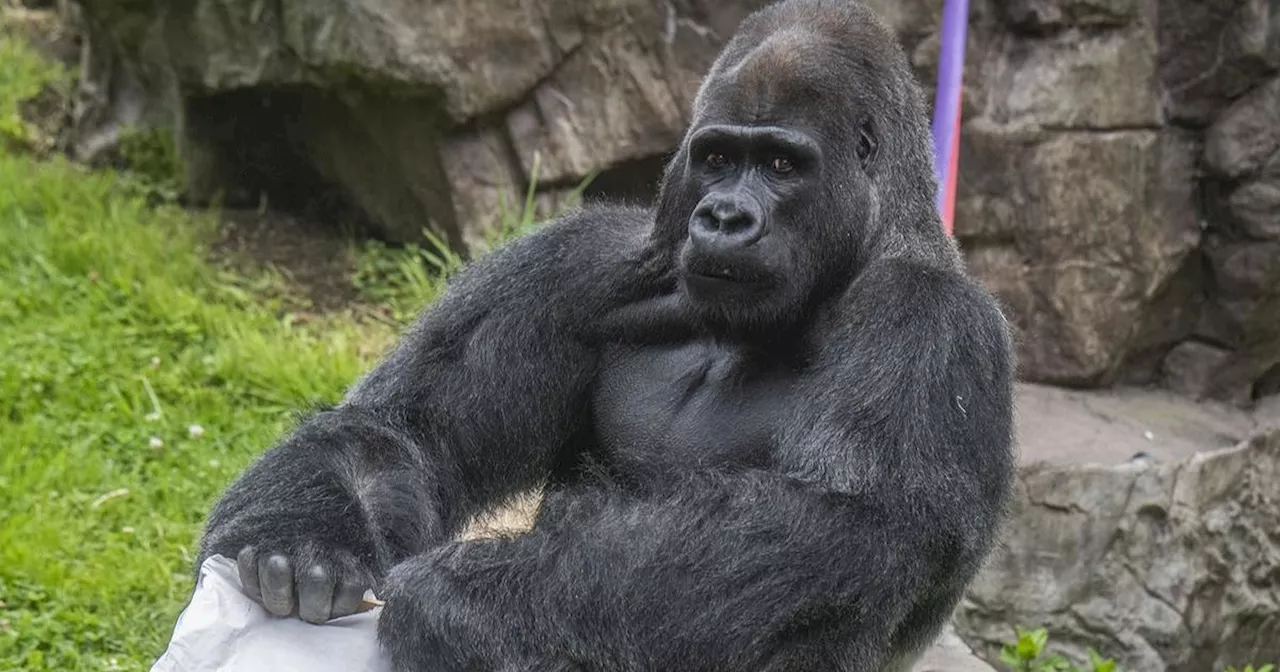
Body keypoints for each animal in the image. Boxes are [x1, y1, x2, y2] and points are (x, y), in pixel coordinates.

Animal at [199, 0, 1013, 665]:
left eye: (784, 163)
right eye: (718, 156)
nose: (724, 217)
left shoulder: (930, 321)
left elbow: (839, 526)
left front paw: (446, 597)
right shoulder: (580, 261)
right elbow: (403, 430)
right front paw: (302, 538)